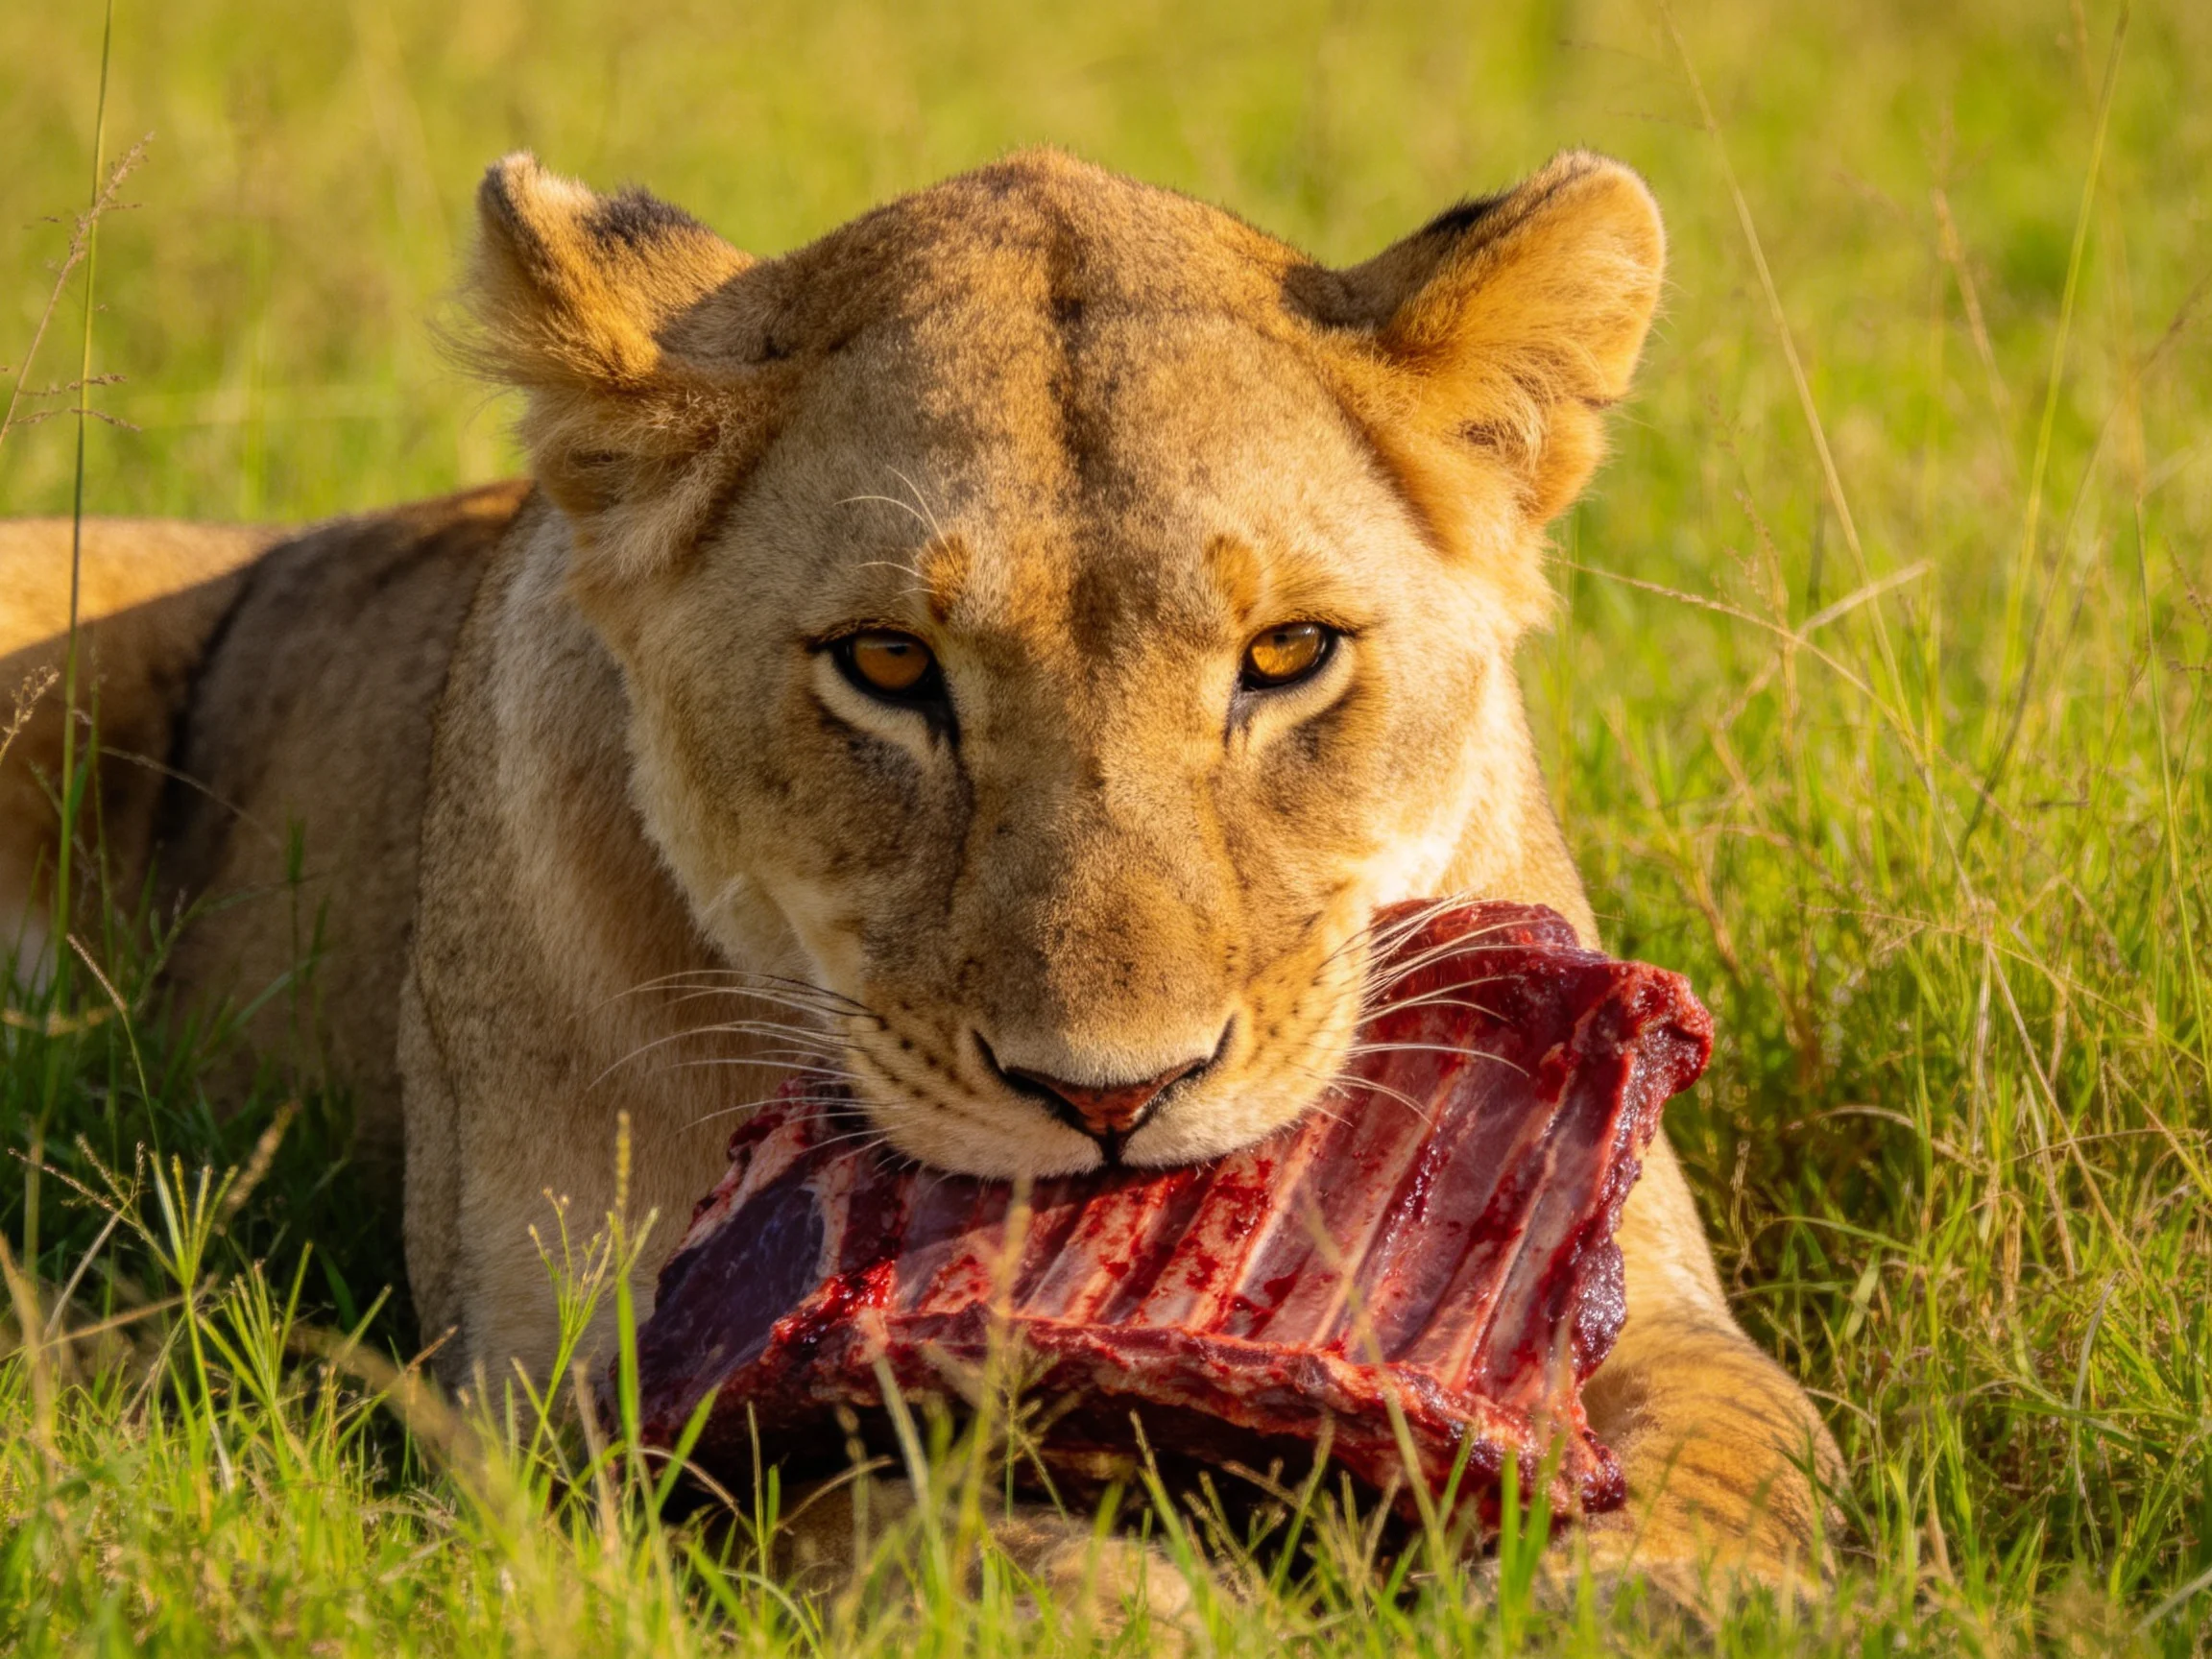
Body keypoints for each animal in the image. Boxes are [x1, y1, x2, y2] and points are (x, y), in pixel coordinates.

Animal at [1, 147, 1839, 1610]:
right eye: (887, 663)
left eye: (1288, 654)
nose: (1113, 1097)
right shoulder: (538, 1405)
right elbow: (867, 1498)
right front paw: (1112, 1599)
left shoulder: (1666, 1302)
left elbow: (1742, 1441)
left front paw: (1672, 1604)